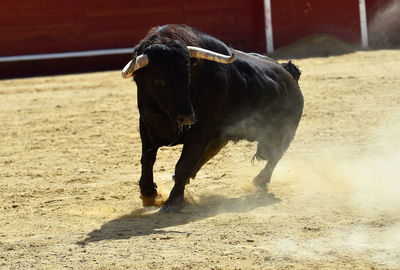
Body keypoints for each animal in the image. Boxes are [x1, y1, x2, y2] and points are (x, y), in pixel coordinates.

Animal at [122, 24, 304, 212]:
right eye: (158, 80)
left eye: (188, 76)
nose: (187, 117)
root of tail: (289, 76)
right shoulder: (146, 124)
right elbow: (147, 159)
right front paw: (148, 194)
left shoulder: (200, 131)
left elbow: (183, 164)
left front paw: (173, 202)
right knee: (212, 150)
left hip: (285, 130)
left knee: (276, 154)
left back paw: (259, 181)